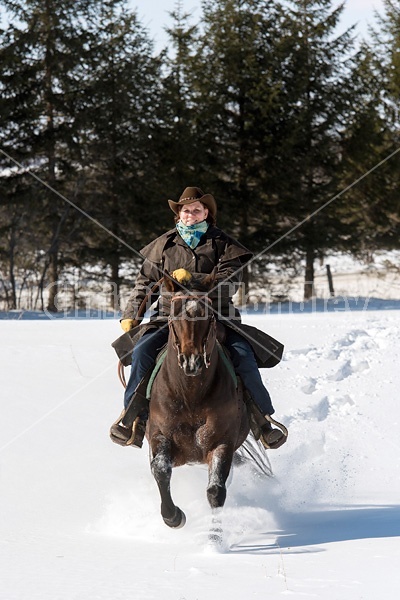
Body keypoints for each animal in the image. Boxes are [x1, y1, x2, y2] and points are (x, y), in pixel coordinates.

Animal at [147, 274, 250, 528]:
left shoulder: (222, 442)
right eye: (174, 315)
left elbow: (216, 491)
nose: (191, 361)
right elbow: (160, 469)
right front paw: (173, 516)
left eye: (209, 315)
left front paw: (215, 536)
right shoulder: (159, 434)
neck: (190, 395)